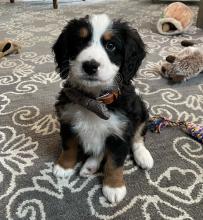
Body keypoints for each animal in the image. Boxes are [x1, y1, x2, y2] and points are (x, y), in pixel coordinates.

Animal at [52, 13, 154, 203]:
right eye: (79, 42)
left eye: (111, 45)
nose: (90, 65)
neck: (94, 101)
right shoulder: (67, 119)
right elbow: (69, 146)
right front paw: (64, 166)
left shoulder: (121, 131)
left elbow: (114, 162)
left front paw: (114, 187)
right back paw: (90, 166)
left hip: (141, 111)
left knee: (138, 138)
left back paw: (143, 156)